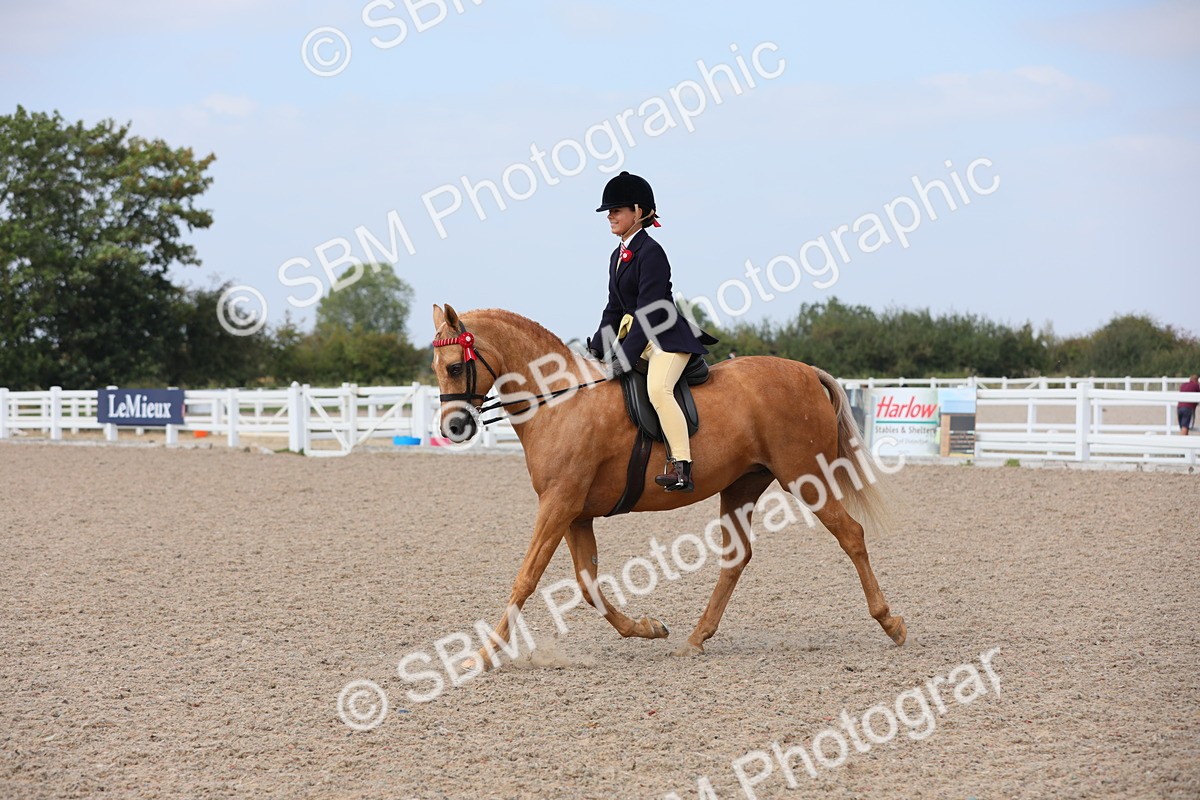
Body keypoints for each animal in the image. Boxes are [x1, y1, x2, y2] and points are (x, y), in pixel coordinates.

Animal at [429, 304, 906, 668]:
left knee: (851, 534)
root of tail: (806, 372)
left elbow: (526, 579)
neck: (560, 400)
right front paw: (648, 628)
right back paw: (695, 639)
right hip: (743, 486)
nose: (452, 428)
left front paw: (481, 657)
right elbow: (588, 586)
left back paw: (892, 623)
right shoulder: (574, 513)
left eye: (454, 366)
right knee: (736, 558)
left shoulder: (558, 504)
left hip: (806, 477)